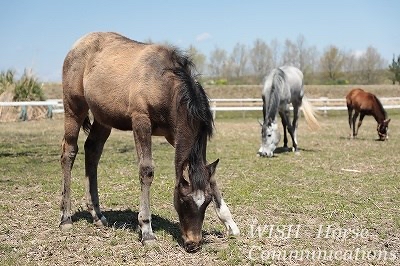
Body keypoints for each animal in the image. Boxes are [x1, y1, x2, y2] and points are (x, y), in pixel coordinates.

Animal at [59, 32, 239, 252]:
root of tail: (78, 44)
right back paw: (66, 217)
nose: (193, 244)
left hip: (103, 119)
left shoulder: (174, 134)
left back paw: (97, 215)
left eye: (207, 201)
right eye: (183, 200)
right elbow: (146, 170)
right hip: (73, 108)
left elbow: (209, 175)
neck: (164, 84)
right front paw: (147, 231)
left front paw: (230, 223)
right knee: (69, 152)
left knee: (92, 150)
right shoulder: (141, 121)